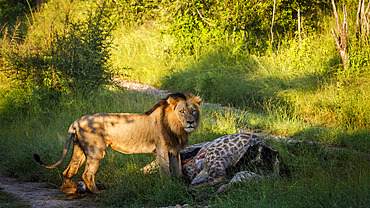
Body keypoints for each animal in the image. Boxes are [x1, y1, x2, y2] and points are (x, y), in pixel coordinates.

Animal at [34, 92, 201, 193]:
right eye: (182, 111)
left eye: (193, 110)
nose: (190, 122)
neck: (176, 127)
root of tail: (76, 121)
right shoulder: (161, 150)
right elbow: (166, 171)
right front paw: (168, 187)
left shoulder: (174, 150)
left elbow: (178, 170)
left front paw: (180, 185)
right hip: (96, 151)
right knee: (87, 174)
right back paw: (98, 193)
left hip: (79, 150)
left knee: (68, 171)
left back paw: (71, 189)